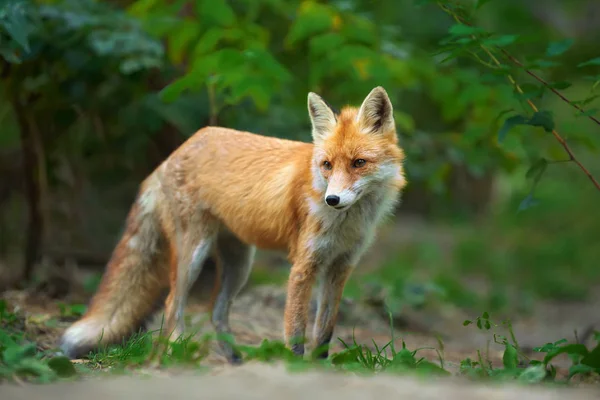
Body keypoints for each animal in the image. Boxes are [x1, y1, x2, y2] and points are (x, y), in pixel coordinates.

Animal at [58, 85, 408, 362]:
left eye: (359, 163)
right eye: (327, 165)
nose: (331, 200)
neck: (346, 224)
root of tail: (175, 152)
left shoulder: (339, 267)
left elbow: (323, 335)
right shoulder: (303, 267)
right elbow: (296, 334)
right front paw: (296, 370)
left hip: (239, 264)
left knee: (216, 311)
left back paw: (233, 360)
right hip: (193, 256)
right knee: (173, 307)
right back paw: (173, 355)